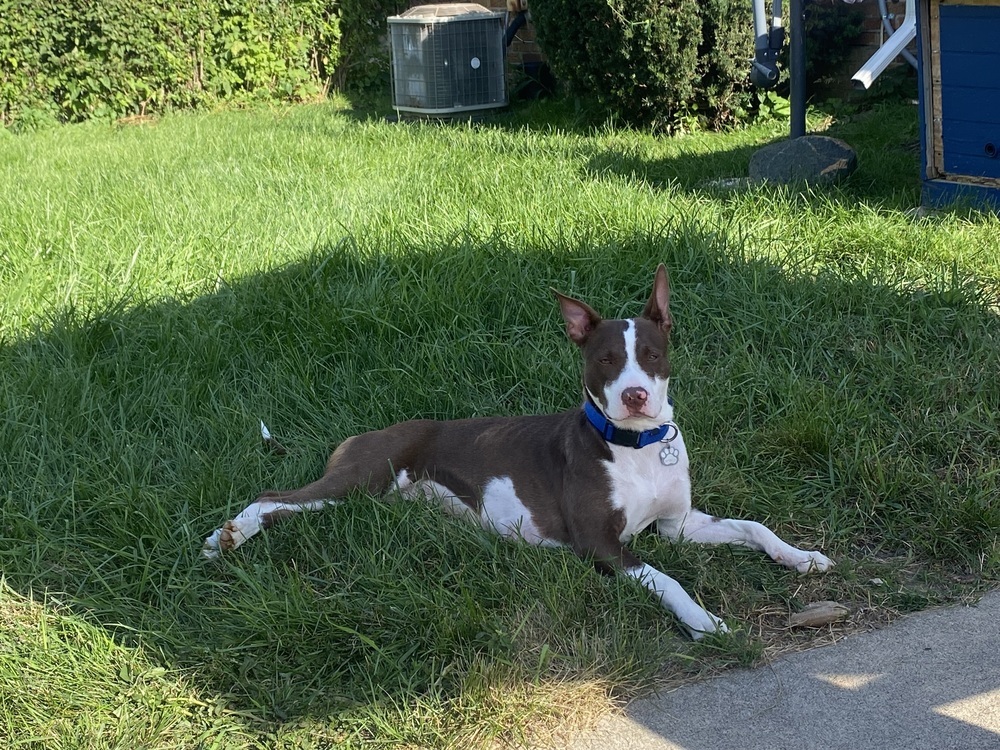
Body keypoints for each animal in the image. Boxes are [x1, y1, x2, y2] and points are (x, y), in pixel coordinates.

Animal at [199, 268, 832, 636]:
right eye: (605, 359)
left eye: (652, 354)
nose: (635, 395)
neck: (634, 446)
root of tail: (364, 434)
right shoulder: (601, 545)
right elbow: (671, 581)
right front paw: (705, 621)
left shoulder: (678, 527)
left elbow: (752, 527)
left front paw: (802, 557)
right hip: (359, 479)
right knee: (273, 496)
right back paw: (227, 536)